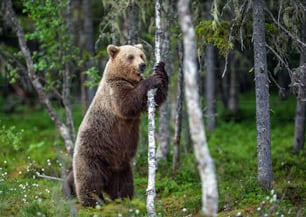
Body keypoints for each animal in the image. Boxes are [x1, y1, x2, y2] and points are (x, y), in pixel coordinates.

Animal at [63, 43, 169, 207]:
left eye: (141, 55)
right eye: (130, 56)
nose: (142, 65)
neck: (123, 77)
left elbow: (157, 98)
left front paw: (160, 69)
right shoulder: (114, 92)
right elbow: (127, 103)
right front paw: (151, 80)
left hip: (120, 164)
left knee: (123, 183)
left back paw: (124, 198)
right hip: (92, 155)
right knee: (89, 180)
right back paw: (93, 202)